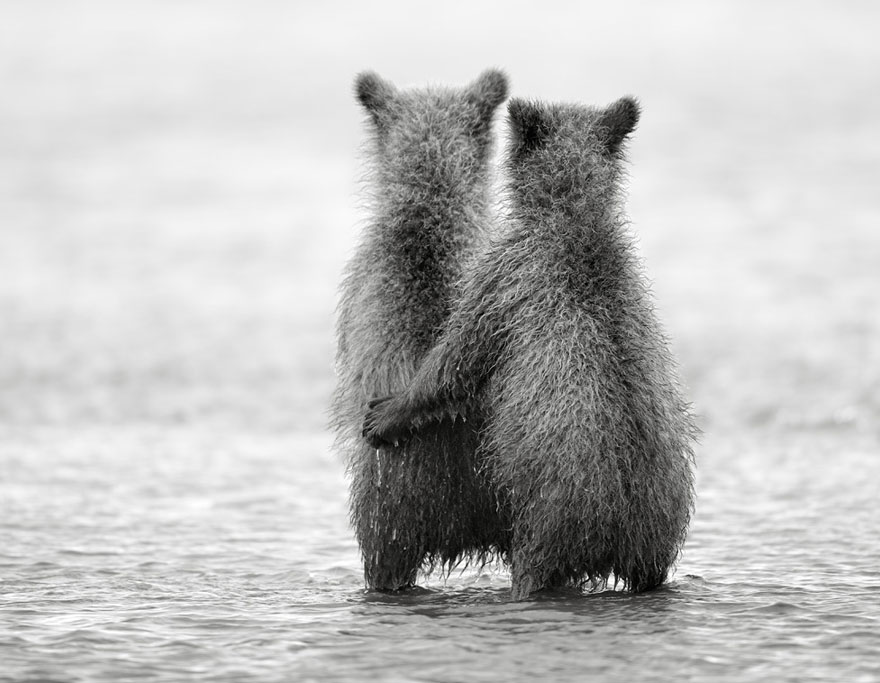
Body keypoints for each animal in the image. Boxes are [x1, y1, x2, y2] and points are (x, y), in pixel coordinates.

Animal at [363, 96, 697, 600]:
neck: (572, 216)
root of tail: (625, 523)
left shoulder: (504, 278)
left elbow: (456, 362)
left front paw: (386, 412)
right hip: (657, 525)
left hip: (552, 512)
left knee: (533, 566)